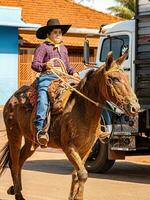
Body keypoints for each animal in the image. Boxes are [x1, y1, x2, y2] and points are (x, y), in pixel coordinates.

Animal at [0, 52, 140, 200]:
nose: (134, 107)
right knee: (14, 163)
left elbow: (76, 174)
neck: (81, 109)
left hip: (31, 141)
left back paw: (15, 190)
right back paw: (18, 194)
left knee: (20, 161)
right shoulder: (69, 147)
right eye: (114, 79)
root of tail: (12, 99)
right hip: (14, 134)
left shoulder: (87, 148)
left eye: (126, 77)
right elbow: (83, 174)